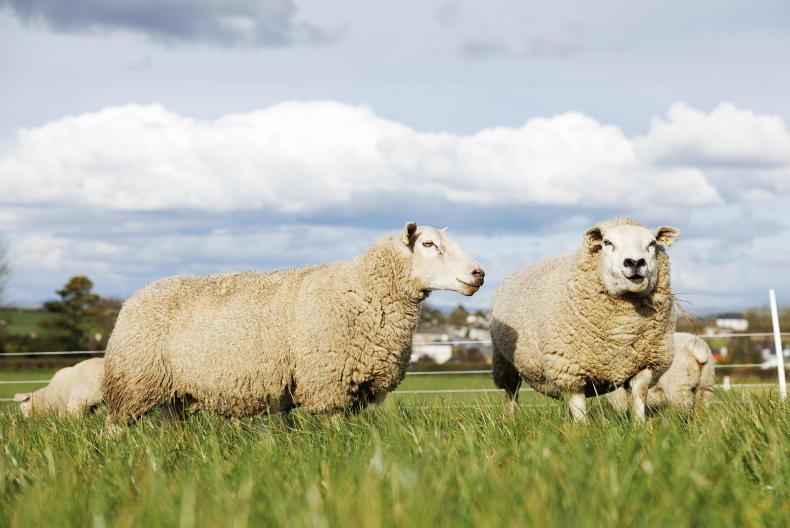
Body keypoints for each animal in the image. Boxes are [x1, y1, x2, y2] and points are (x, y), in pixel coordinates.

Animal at [103, 222, 485, 422]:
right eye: (429, 244)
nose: (478, 274)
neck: (362, 288)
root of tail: (131, 299)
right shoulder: (327, 383)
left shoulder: (359, 390)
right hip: (132, 383)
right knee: (115, 427)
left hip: (170, 396)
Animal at [490, 217, 680, 422]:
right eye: (607, 243)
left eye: (652, 243)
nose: (635, 262)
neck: (623, 330)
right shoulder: (569, 369)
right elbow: (579, 409)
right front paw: (582, 428)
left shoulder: (645, 365)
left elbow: (639, 396)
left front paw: (638, 425)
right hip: (505, 363)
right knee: (511, 393)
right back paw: (511, 419)